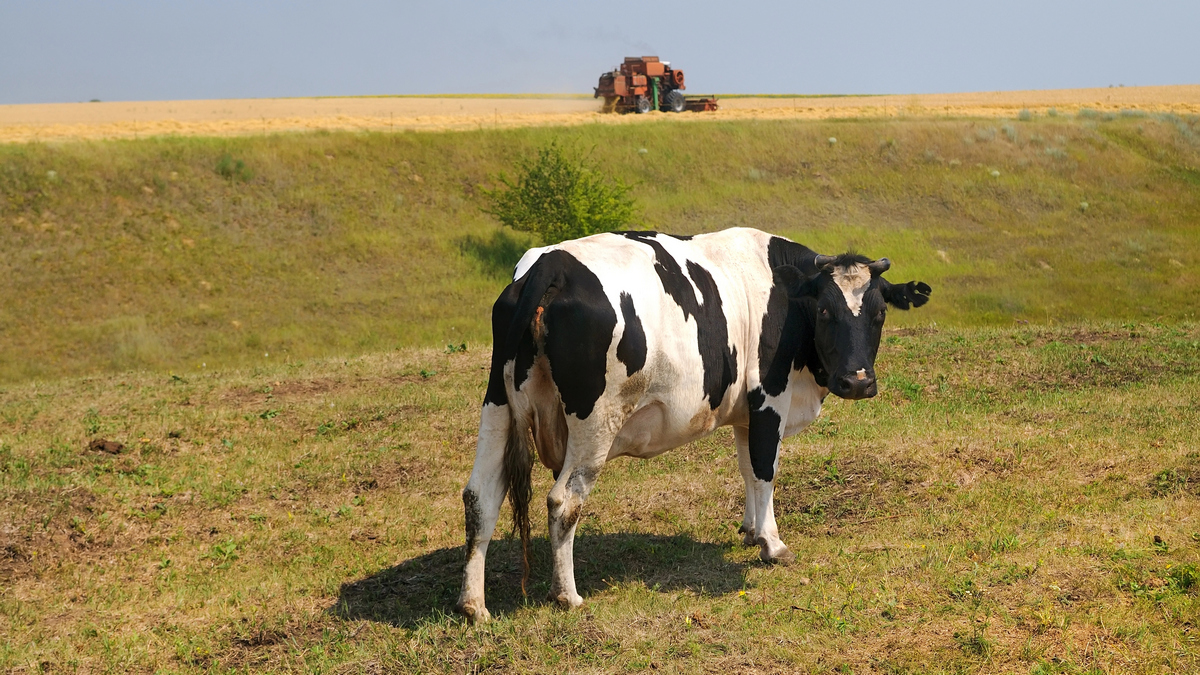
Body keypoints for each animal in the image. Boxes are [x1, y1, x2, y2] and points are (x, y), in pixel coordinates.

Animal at [453, 225, 931, 619]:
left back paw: (474, 605)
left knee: (480, 496)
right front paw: (772, 543)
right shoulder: (769, 397)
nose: (857, 381)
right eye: (827, 312)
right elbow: (765, 469)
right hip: (596, 421)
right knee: (563, 500)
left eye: (880, 313)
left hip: (497, 403)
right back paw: (566, 595)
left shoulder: (745, 412)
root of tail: (551, 263)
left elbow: (747, 468)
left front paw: (749, 530)